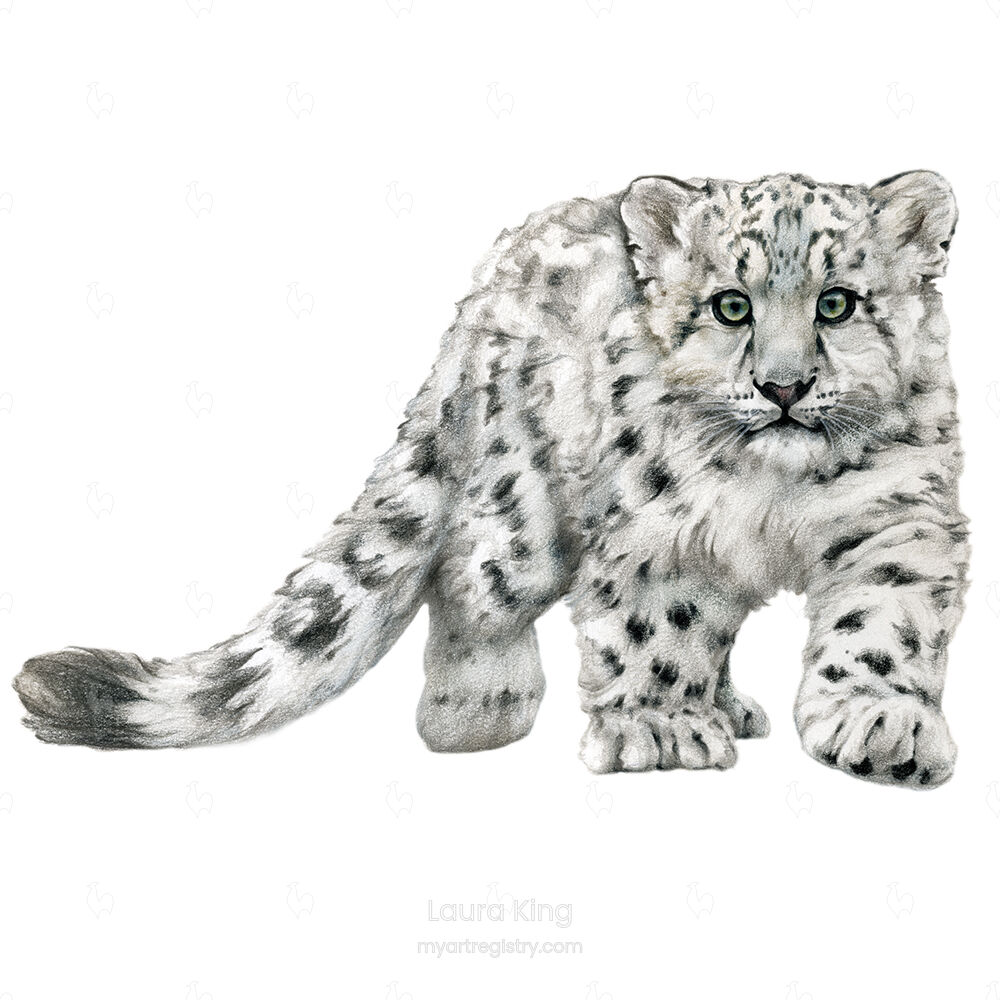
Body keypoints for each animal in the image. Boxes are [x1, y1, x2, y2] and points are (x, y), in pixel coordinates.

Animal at [14, 170, 969, 789]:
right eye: (730, 306)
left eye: (838, 303)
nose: (783, 387)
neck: (778, 490)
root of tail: (500, 269)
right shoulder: (653, 527)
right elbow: (655, 623)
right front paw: (658, 730)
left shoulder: (902, 517)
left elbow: (884, 618)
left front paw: (879, 722)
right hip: (527, 508)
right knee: (469, 570)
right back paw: (480, 702)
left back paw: (727, 704)